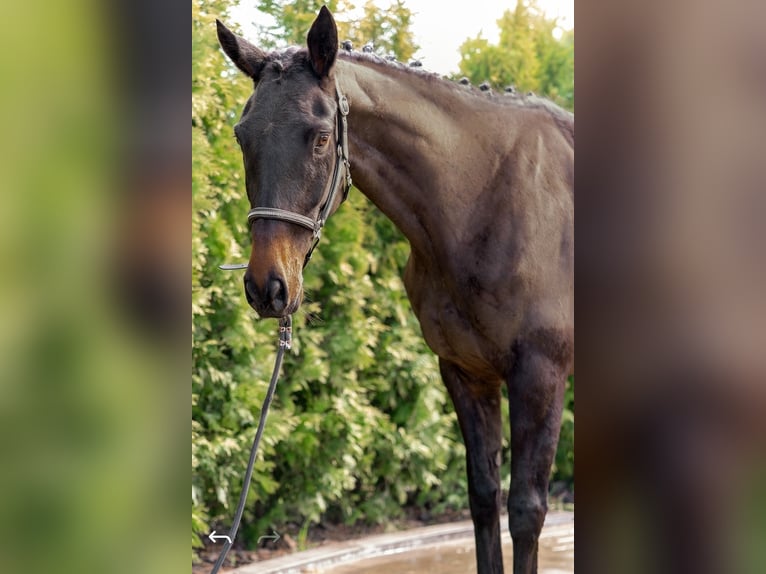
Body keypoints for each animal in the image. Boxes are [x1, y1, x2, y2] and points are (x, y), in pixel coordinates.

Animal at [215, 7, 573, 574]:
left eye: (320, 137)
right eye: (241, 135)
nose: (266, 286)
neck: (487, 202)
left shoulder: (541, 376)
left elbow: (526, 510)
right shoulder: (465, 374)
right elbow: (483, 497)